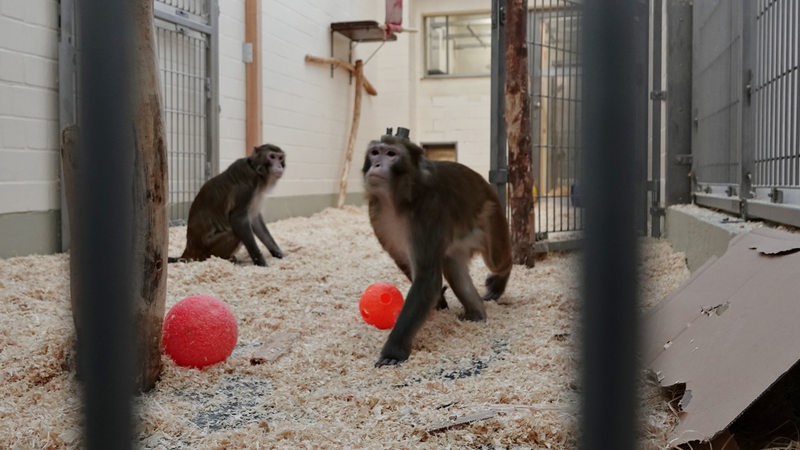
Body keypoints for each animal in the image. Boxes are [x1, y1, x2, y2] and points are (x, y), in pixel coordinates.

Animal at [362, 127, 512, 366]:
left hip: (491, 216)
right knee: (452, 266)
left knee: (497, 260)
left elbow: (427, 279)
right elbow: (408, 265)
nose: (376, 165)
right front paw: (439, 302)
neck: (397, 200)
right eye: (375, 152)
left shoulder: (427, 212)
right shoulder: (377, 215)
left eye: (391, 154)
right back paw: (476, 314)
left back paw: (500, 278)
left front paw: (393, 352)